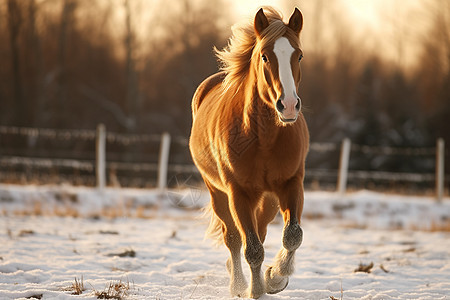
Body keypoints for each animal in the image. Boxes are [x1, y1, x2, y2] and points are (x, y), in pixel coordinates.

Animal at [188, 6, 308, 298]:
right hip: (218, 193)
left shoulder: (291, 184)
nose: (289, 105)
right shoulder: (238, 192)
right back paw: (238, 285)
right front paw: (255, 290)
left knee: (261, 231)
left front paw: (276, 278)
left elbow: (292, 235)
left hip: (267, 200)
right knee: (233, 237)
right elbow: (250, 248)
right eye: (264, 55)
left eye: (299, 54)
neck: (264, 138)